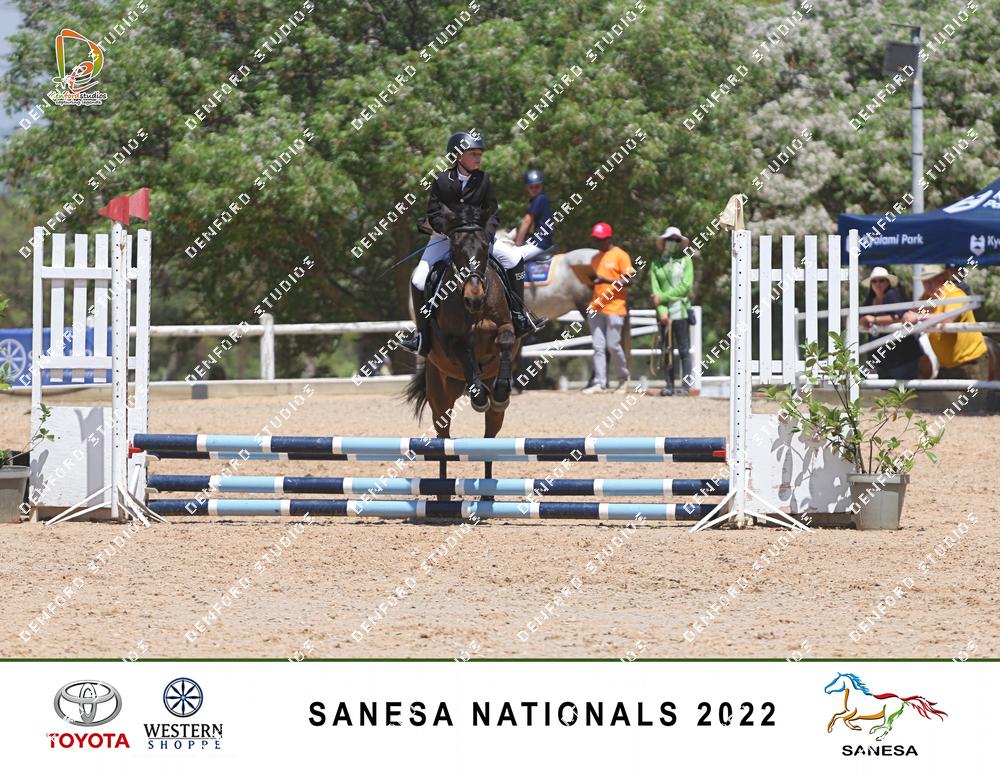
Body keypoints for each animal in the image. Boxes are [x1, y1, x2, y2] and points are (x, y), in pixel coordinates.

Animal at [405, 203, 519, 471]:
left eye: (485, 247)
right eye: (456, 249)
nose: (473, 298)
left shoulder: (505, 326)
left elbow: (505, 341)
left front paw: (499, 392)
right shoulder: (452, 341)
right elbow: (466, 354)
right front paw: (478, 397)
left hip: (490, 413)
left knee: (490, 437)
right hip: (440, 396)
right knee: (443, 438)